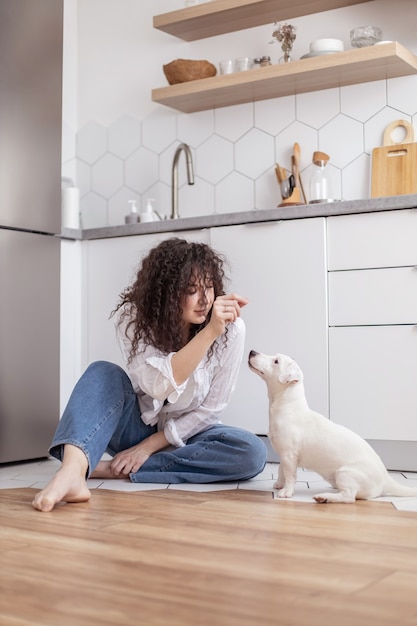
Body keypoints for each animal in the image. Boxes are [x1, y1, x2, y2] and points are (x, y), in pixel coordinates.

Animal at [249, 348, 417, 504]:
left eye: (276, 361)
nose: (252, 351)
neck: (286, 405)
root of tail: (386, 479)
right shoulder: (284, 455)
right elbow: (280, 470)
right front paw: (279, 484)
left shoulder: (289, 455)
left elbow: (290, 475)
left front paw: (286, 492)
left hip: (345, 474)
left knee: (349, 497)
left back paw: (324, 497)